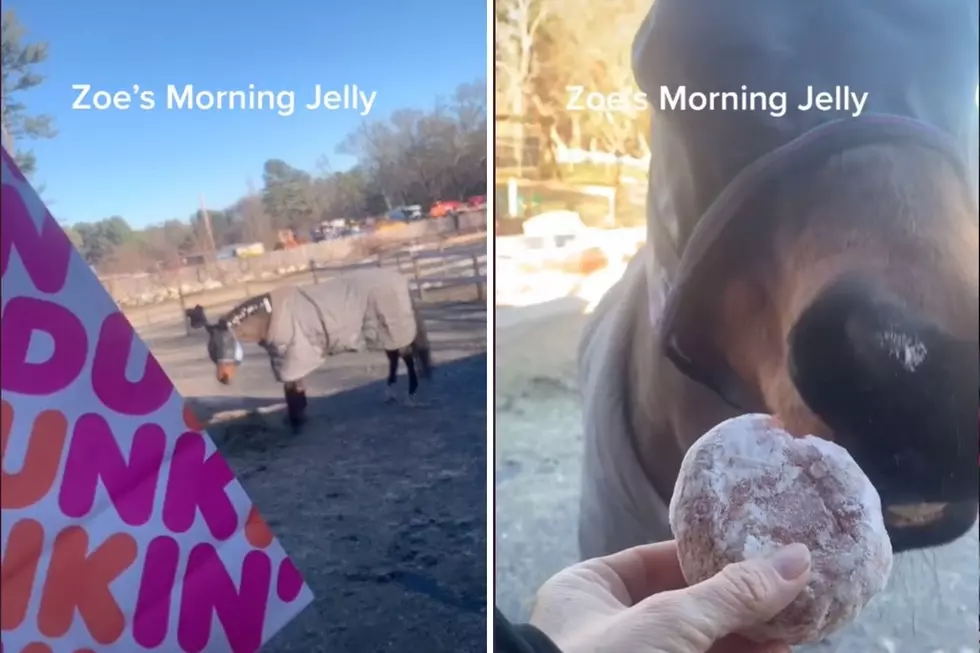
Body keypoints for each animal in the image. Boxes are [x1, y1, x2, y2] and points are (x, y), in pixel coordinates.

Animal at [188, 268, 432, 430]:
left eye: (227, 345)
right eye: (211, 350)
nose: (223, 378)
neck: (270, 317)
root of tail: (399, 279)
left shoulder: (291, 354)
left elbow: (291, 387)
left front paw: (295, 420)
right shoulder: (291, 356)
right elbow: (296, 385)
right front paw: (300, 414)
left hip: (392, 329)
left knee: (406, 358)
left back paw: (411, 395)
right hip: (383, 332)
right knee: (394, 358)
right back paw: (390, 394)